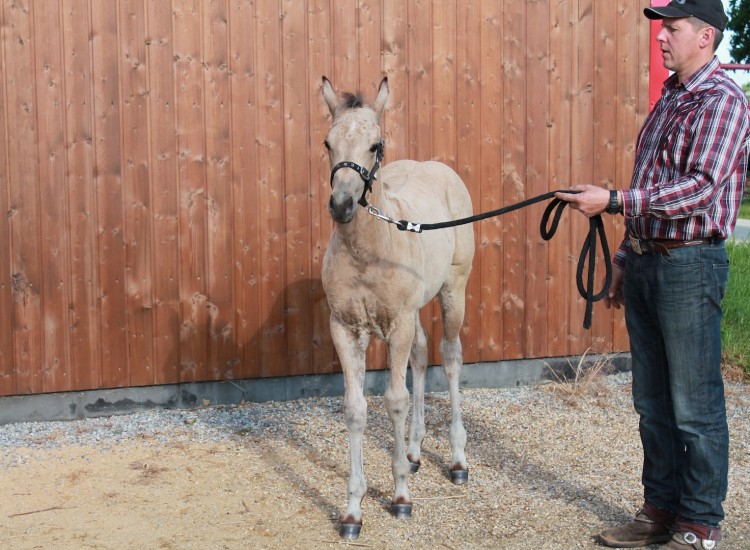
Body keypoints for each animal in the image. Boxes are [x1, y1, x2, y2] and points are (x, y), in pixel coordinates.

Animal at [320, 76, 475, 540]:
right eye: (327, 142)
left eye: (376, 144)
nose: (341, 205)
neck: (368, 253)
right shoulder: (345, 329)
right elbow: (356, 408)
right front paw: (353, 511)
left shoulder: (398, 326)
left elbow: (394, 400)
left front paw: (401, 496)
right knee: (423, 356)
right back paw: (414, 450)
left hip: (453, 291)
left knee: (450, 357)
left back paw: (457, 460)